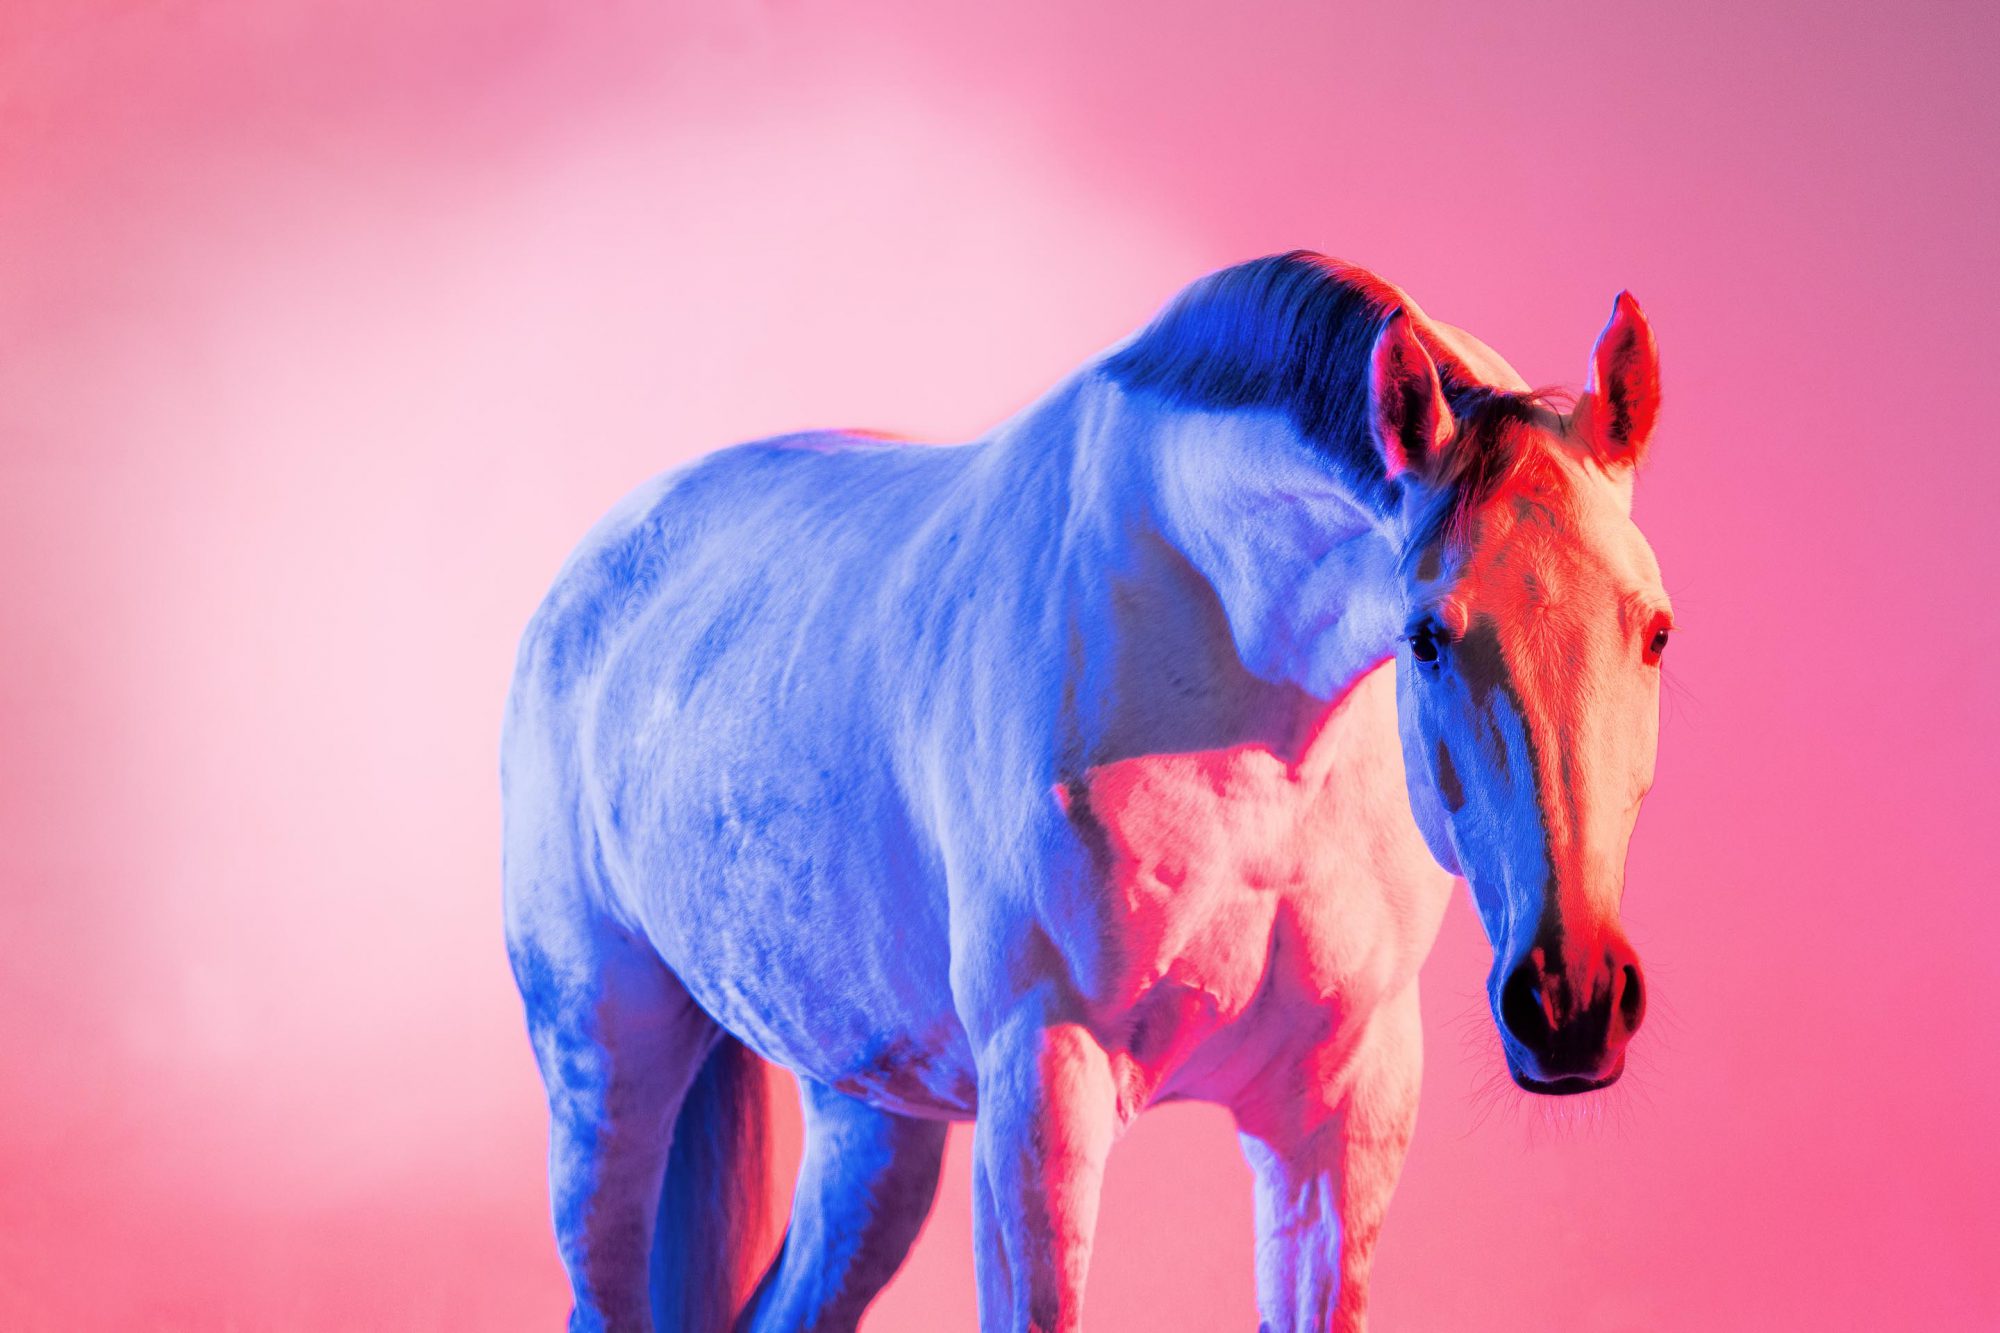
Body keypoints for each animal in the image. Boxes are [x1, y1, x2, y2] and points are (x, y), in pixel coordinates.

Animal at [501, 251, 1670, 1333]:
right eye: (1426, 635)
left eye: (1655, 629)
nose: (1572, 1003)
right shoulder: (1045, 1089)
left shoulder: (1342, 1110)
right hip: (608, 1068)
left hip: (870, 1121)